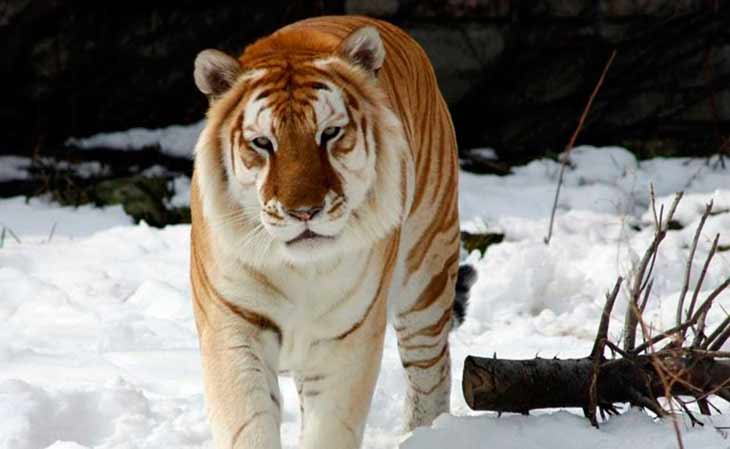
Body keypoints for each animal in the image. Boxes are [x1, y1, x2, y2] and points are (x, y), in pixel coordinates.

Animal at [190, 15, 476, 449]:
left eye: (329, 134)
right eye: (262, 143)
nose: (304, 211)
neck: (299, 270)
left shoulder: (347, 338)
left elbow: (330, 428)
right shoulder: (232, 326)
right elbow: (249, 423)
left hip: (427, 274)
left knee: (431, 369)